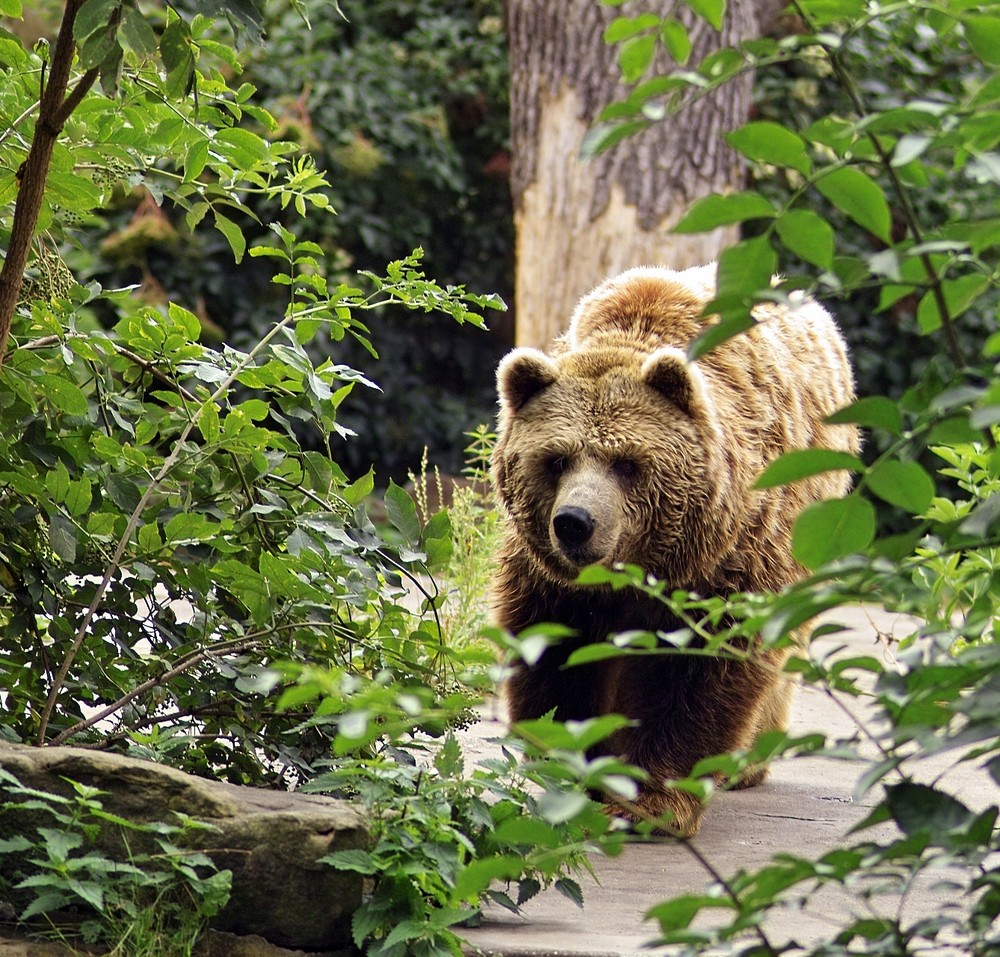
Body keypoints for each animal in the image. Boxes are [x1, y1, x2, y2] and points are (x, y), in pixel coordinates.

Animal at [492, 266, 860, 832]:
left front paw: (650, 799)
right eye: (556, 459)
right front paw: (571, 771)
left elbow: (698, 672)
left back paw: (746, 764)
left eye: (626, 462)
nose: (575, 524)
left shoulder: (726, 561)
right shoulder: (552, 581)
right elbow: (558, 655)